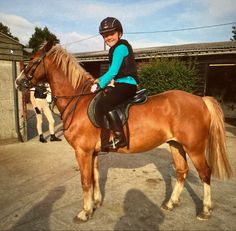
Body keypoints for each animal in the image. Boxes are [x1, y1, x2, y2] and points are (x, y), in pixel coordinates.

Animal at [16, 41, 232, 222]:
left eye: (34, 60)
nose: (19, 82)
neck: (79, 100)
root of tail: (201, 100)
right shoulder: (92, 152)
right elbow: (95, 177)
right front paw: (95, 204)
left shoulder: (82, 152)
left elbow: (85, 181)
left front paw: (85, 212)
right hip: (176, 145)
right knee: (182, 172)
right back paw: (171, 203)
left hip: (194, 148)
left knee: (205, 173)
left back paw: (205, 210)